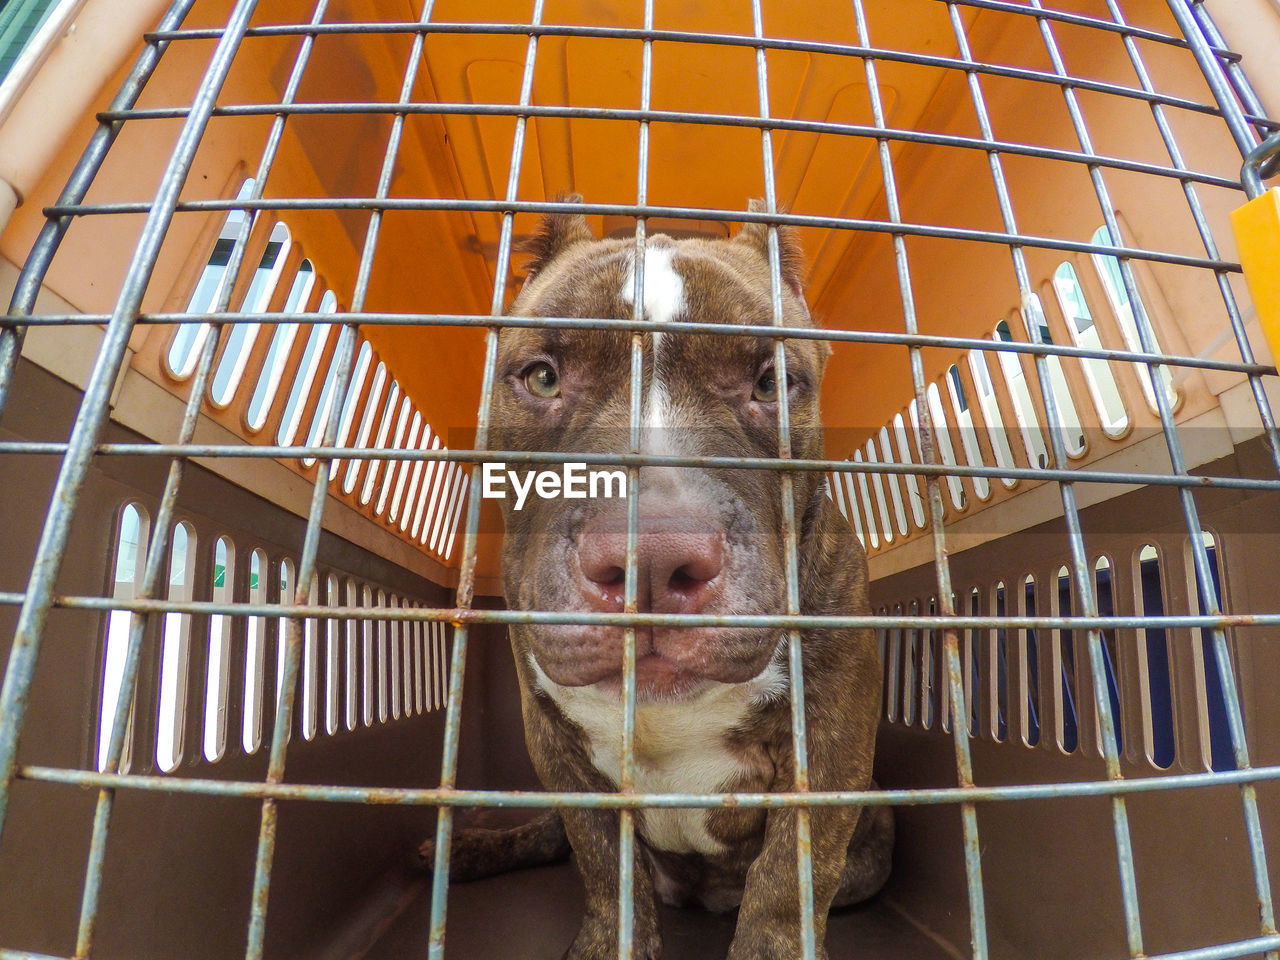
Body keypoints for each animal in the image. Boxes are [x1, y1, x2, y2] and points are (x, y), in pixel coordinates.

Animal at [419, 197, 890, 960]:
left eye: (772, 383)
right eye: (542, 376)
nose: (653, 558)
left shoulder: (832, 735)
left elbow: (788, 881)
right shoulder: (552, 739)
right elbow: (602, 862)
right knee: (550, 837)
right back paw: (463, 849)